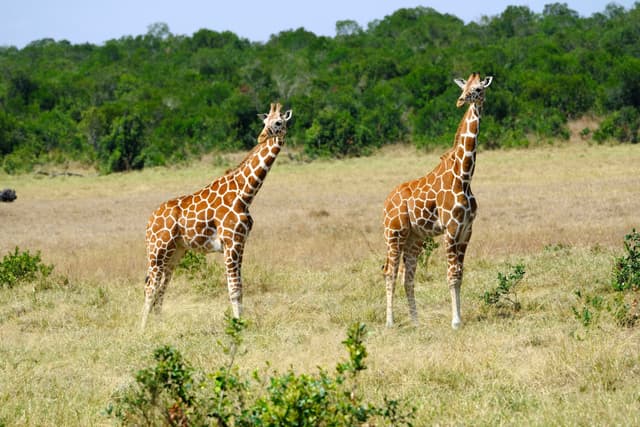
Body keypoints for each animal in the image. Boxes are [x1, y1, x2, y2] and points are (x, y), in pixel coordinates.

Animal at [141, 102, 292, 329]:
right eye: (265, 121)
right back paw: (141, 328)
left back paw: (159, 325)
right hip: (157, 250)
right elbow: (234, 288)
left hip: (175, 253)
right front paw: (238, 326)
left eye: (278, 122)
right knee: (150, 286)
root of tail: (150, 221)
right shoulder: (231, 242)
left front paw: (241, 322)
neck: (245, 193)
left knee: (161, 287)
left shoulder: (240, 243)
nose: (262, 136)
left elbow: (239, 287)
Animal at [382, 73, 492, 329]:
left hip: (414, 238)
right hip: (394, 234)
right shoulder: (450, 229)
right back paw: (390, 322)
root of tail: (385, 204)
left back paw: (416, 322)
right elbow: (451, 275)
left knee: (407, 276)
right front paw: (455, 321)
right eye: (464, 88)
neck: (464, 175)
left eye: (478, 89)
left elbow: (459, 274)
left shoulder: (466, 230)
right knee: (389, 272)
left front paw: (458, 317)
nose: (460, 101)